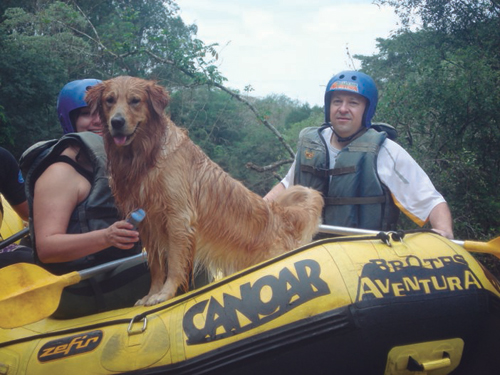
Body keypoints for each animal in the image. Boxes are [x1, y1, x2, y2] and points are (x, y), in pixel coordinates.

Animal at [86, 75, 324, 306]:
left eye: (135, 100)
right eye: (109, 100)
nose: (117, 122)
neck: (147, 156)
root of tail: (280, 217)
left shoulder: (178, 218)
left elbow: (174, 264)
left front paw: (164, 294)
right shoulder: (146, 224)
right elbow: (156, 267)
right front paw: (151, 294)